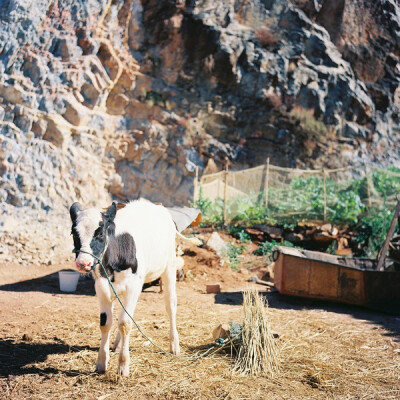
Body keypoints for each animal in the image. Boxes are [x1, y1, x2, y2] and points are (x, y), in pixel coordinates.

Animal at [70, 198, 180, 376]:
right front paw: (101, 362)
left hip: (169, 265)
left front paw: (123, 365)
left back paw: (174, 345)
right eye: (74, 233)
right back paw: (117, 343)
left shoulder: (133, 286)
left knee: (170, 305)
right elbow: (106, 322)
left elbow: (125, 323)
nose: (83, 263)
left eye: (100, 233)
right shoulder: (101, 286)